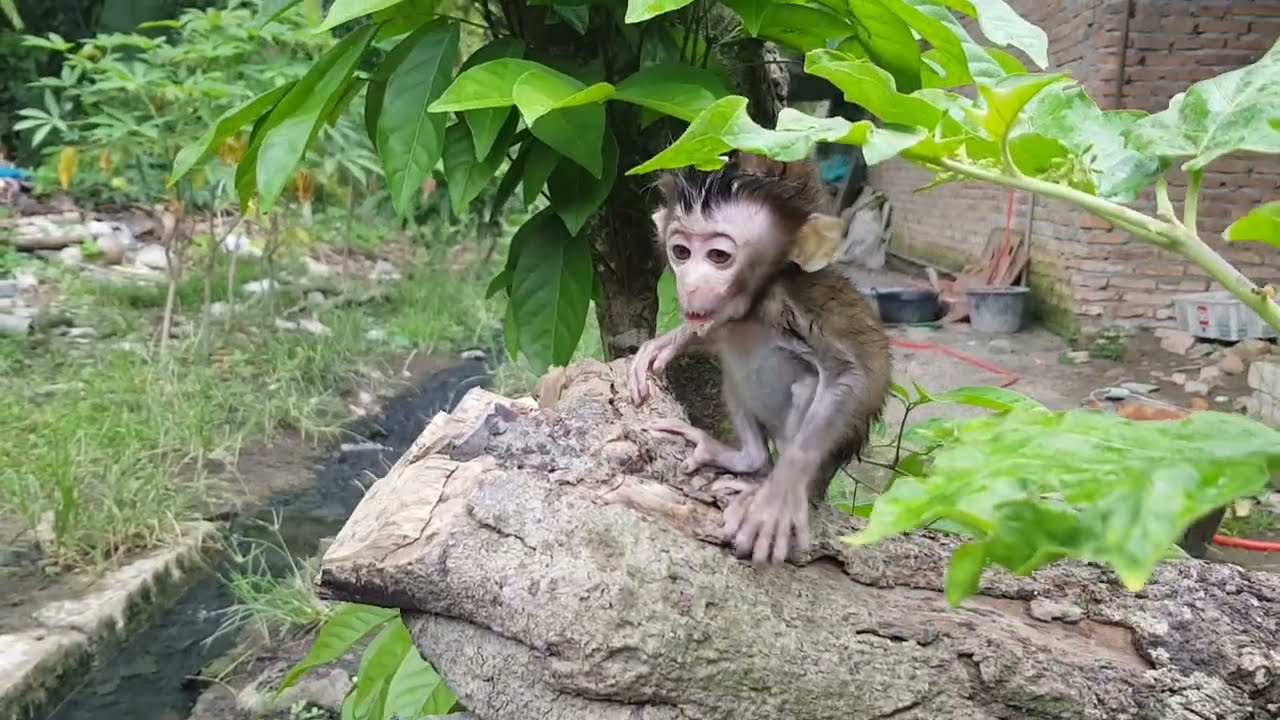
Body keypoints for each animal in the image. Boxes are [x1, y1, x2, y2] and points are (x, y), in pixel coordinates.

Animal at [629, 151, 892, 566]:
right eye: (681, 252)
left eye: (718, 256)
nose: (691, 286)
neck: (752, 307)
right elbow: (714, 333)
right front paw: (668, 342)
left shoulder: (797, 300)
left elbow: (851, 374)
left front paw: (777, 497)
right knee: (735, 362)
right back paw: (745, 458)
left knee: (807, 386)